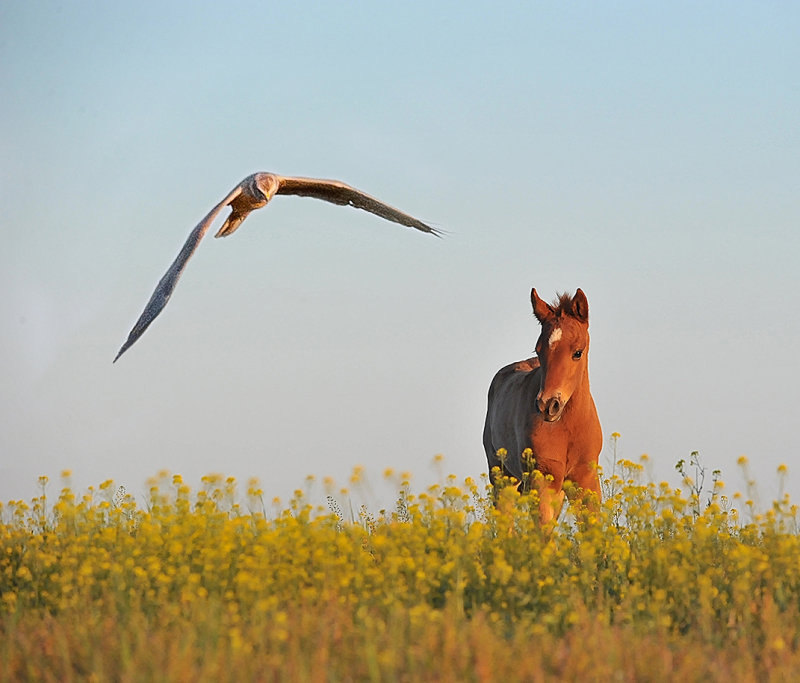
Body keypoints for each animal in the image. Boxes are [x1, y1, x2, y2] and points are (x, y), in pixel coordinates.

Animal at [482, 288, 600, 524]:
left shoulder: (586, 480)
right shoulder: (543, 480)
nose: (548, 405)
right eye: (538, 350)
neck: (569, 428)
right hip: (502, 476)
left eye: (578, 352)